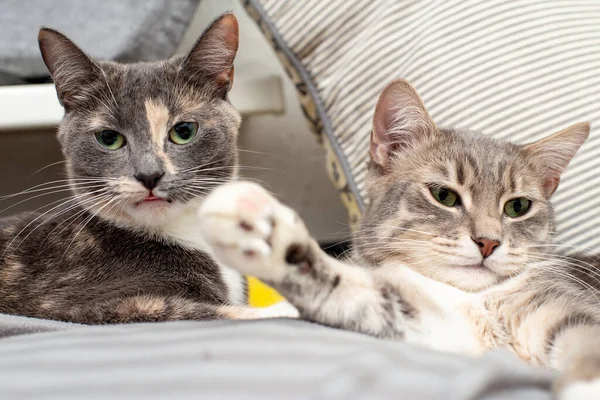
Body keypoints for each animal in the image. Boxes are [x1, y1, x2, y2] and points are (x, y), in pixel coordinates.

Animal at [199, 79, 600, 398]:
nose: (488, 242)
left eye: (518, 207)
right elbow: (349, 292)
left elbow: (586, 342)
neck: (471, 297)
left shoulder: (564, 304)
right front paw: (265, 233)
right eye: (444, 195)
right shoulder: (439, 327)